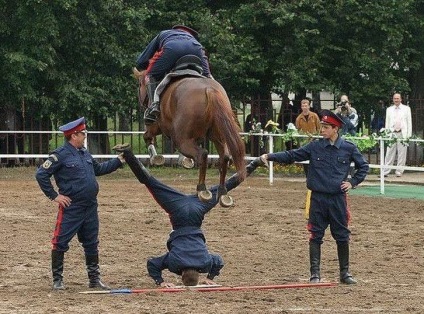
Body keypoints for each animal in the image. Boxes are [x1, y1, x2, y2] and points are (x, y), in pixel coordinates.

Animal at [132, 67, 245, 207]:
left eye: (139, 85)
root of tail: (209, 89)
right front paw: (185, 160)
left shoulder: (156, 125)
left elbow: (147, 136)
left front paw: (156, 158)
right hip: (218, 137)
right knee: (224, 157)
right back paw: (223, 193)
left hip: (182, 140)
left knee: (202, 154)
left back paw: (202, 189)